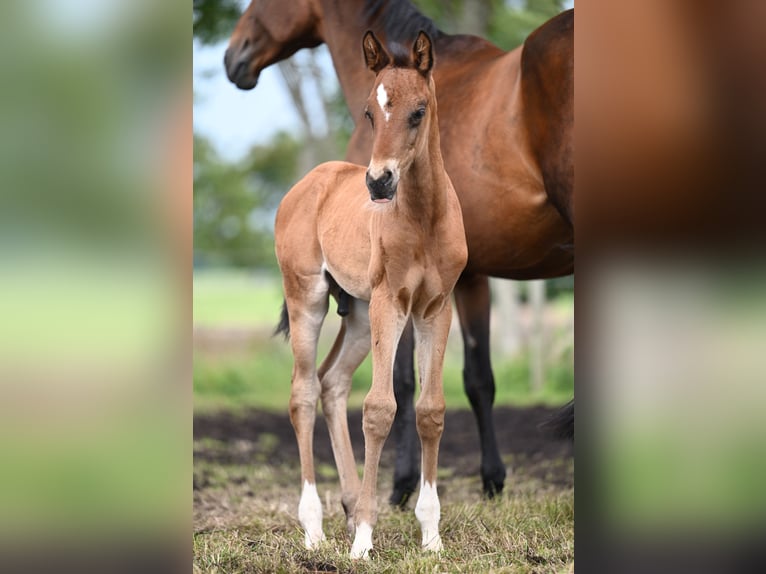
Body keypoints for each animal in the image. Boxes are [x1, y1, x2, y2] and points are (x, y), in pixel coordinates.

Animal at [228, 0, 576, 504]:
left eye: (419, 113)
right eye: (371, 114)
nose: (234, 58)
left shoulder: (436, 291)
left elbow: (418, 383)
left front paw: (406, 484)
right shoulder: (453, 283)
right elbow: (469, 379)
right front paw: (487, 480)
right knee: (317, 384)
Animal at [276, 29, 468, 560]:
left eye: (418, 111)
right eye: (368, 112)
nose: (379, 181)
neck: (424, 218)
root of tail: (304, 185)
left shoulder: (435, 308)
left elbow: (430, 410)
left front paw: (431, 536)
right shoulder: (391, 302)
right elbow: (380, 409)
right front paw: (364, 537)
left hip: (359, 315)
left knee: (332, 382)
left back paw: (344, 507)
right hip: (310, 298)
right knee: (303, 391)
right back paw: (315, 527)